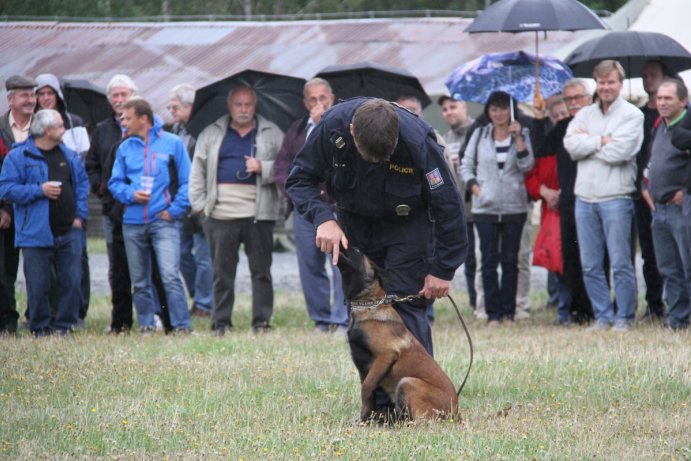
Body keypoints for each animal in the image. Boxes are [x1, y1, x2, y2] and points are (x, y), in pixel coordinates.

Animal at [336, 246, 460, 422]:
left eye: (357, 252)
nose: (344, 244)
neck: (368, 305)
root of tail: (455, 411)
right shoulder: (363, 366)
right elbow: (369, 395)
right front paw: (364, 419)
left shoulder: (386, 355)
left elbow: (366, 388)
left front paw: (364, 420)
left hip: (407, 382)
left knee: (421, 421)